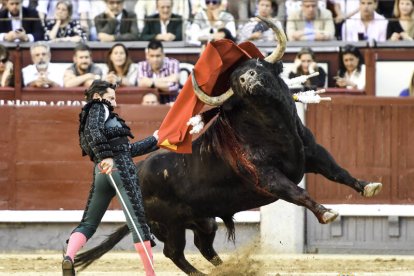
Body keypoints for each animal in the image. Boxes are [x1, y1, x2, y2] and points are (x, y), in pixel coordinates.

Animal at [77, 59, 382, 274]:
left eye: (259, 66)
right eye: (236, 81)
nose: (249, 78)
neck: (275, 128)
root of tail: (136, 172)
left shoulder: (312, 153)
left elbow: (338, 171)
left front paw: (368, 187)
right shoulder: (268, 177)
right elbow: (299, 193)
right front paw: (327, 213)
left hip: (203, 220)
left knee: (204, 247)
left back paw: (225, 270)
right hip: (171, 225)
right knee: (174, 253)